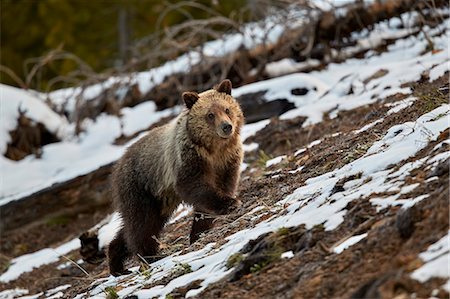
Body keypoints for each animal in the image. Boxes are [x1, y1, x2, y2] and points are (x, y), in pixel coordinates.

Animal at [108, 79, 243, 276]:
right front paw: (230, 203)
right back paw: (149, 255)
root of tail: (118, 165)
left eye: (227, 109)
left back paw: (117, 263)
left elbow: (221, 188)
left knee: (133, 227)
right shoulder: (187, 160)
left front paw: (199, 232)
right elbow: (196, 187)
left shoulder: (227, 161)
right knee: (141, 224)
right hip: (139, 186)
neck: (213, 150)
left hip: (160, 199)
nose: (226, 127)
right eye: (210, 114)